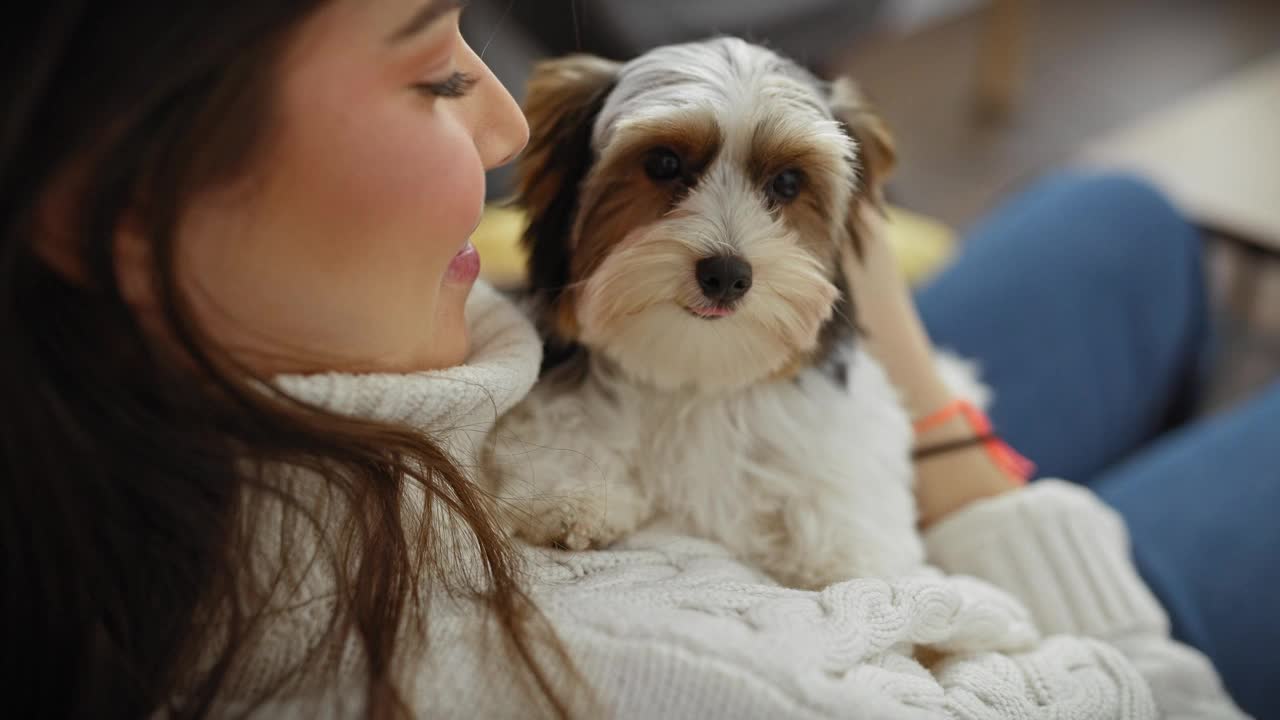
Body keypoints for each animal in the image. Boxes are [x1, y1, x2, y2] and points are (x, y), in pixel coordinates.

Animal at [483, 39, 926, 586]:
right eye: (663, 163)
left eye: (787, 183)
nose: (727, 274)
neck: (696, 373)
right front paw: (573, 495)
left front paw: (843, 550)